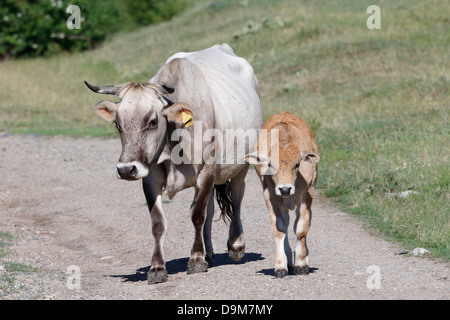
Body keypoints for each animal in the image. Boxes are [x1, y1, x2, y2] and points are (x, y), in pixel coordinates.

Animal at [84, 43, 262, 284]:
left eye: (152, 121)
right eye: (117, 125)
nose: (126, 169)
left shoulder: (206, 171)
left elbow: (197, 216)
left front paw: (195, 260)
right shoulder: (150, 177)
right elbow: (158, 223)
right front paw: (157, 268)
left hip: (240, 165)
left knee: (236, 196)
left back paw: (236, 245)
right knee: (211, 208)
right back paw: (209, 254)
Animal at [244, 112, 318, 278]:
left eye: (297, 164)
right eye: (270, 164)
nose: (285, 189)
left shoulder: (307, 195)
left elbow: (301, 228)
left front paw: (301, 263)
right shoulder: (270, 197)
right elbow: (279, 229)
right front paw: (280, 266)